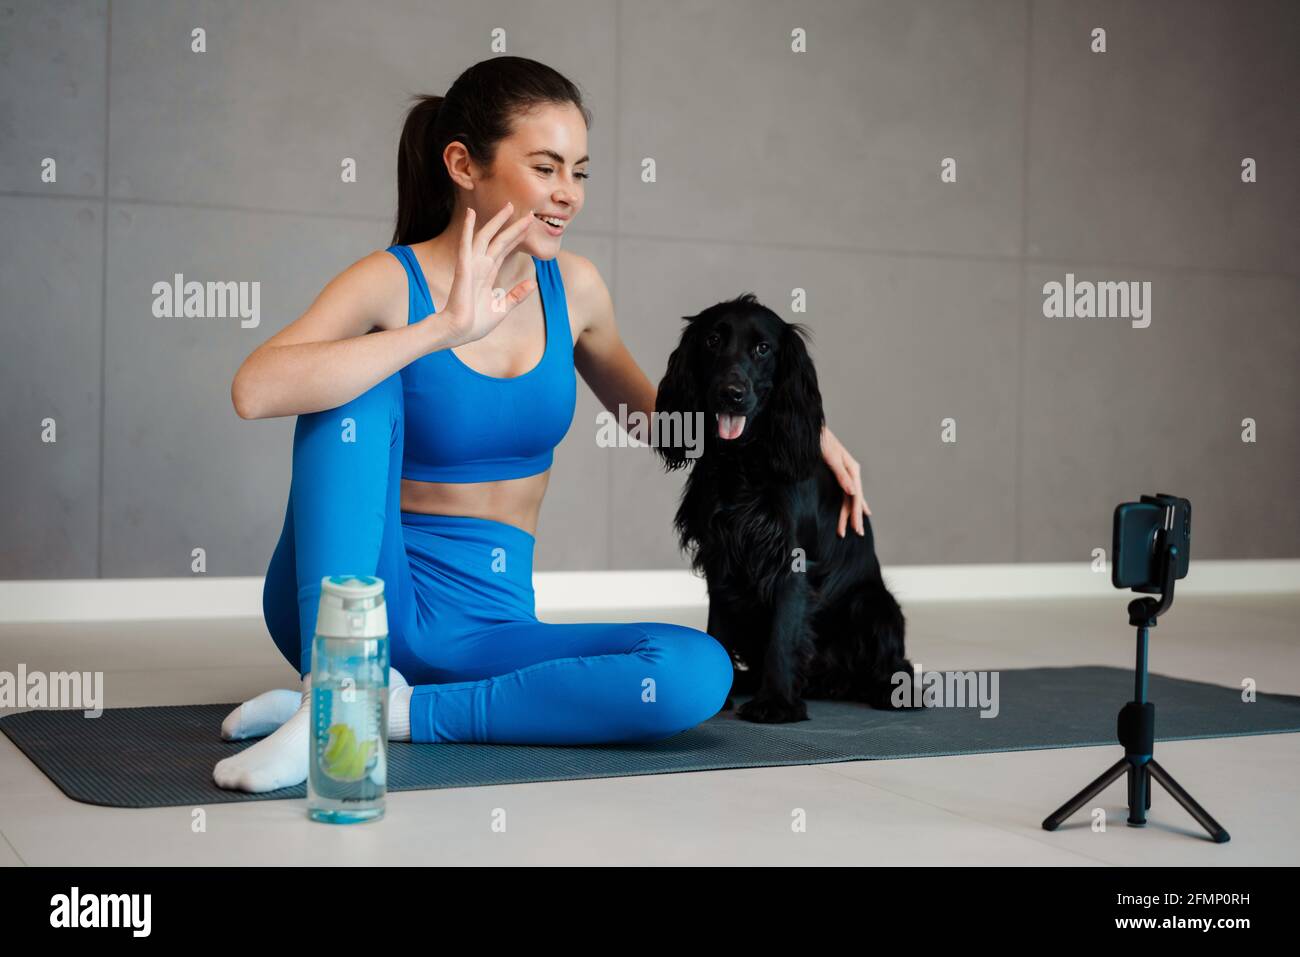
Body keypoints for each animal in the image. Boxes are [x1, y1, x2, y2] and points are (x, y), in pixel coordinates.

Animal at [650, 295, 915, 722]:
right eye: (711, 340)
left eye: (763, 348)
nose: (731, 393)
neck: (743, 463)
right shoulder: (721, 553)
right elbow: (718, 627)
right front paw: (721, 691)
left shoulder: (790, 560)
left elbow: (783, 635)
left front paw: (775, 703)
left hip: (873, 603)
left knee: (894, 664)